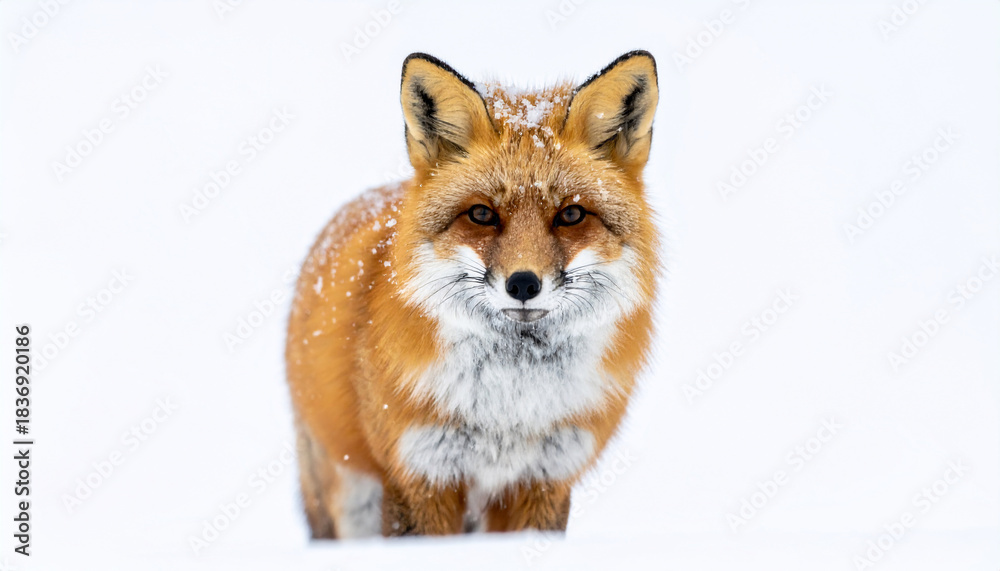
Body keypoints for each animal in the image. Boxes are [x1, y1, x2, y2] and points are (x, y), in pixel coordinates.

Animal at [285, 50, 660, 538]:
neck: (509, 404)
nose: (523, 284)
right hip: (348, 498)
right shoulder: (420, 473)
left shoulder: (545, 478)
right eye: (482, 214)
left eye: (571, 215)